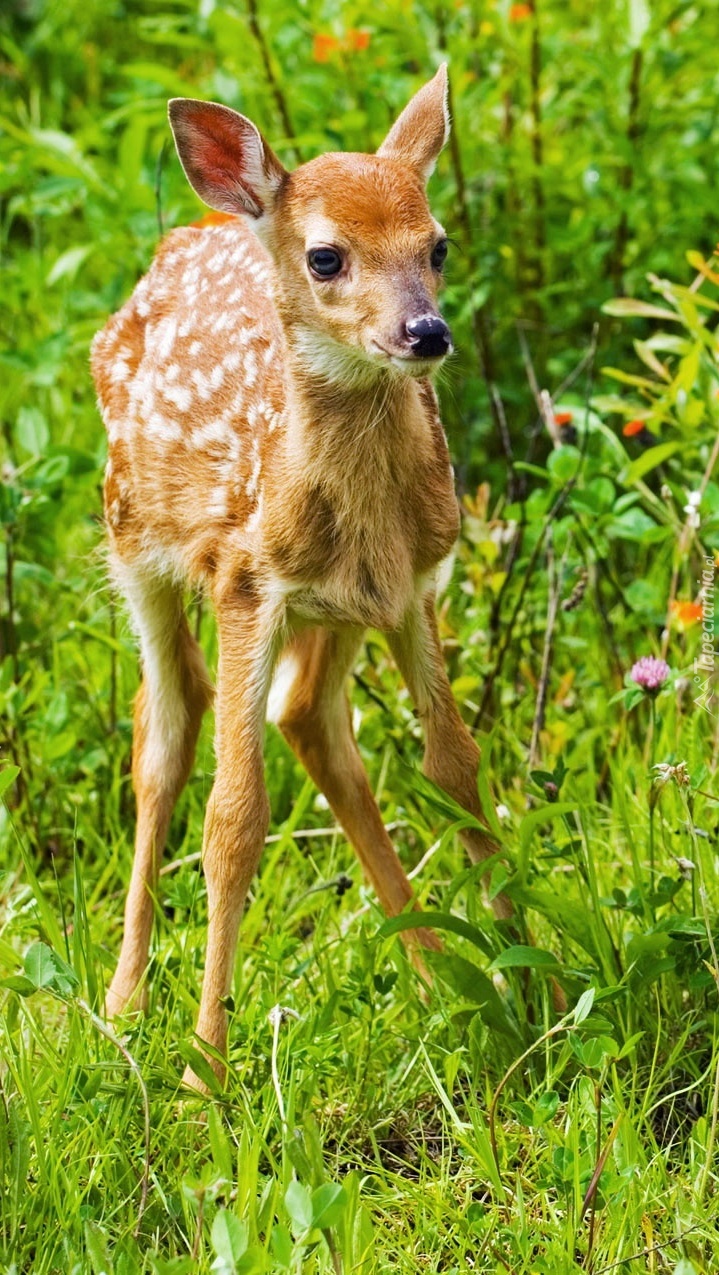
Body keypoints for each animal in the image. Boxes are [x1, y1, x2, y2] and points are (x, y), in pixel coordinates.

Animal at [91, 64, 509, 1091]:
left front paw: (537, 982)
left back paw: (431, 975)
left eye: (437, 244)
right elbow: (234, 820)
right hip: (133, 542)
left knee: (308, 718)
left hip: (337, 613)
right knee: (163, 733)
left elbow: (455, 767)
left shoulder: (411, 586)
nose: (425, 332)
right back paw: (124, 1002)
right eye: (326, 257)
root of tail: (191, 231)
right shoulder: (247, 583)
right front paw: (205, 1070)